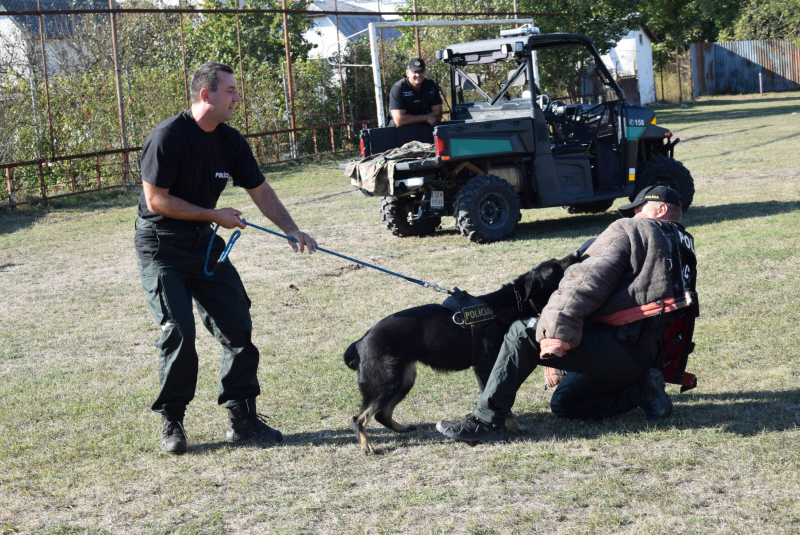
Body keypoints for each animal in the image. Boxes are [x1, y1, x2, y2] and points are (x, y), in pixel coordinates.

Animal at [344, 253, 580, 454]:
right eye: (556, 267)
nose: (577, 254)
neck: (512, 302)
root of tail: (360, 341)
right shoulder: (488, 368)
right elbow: (502, 403)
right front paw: (510, 427)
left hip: (403, 380)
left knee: (382, 415)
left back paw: (401, 428)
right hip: (387, 383)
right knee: (360, 417)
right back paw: (366, 446)